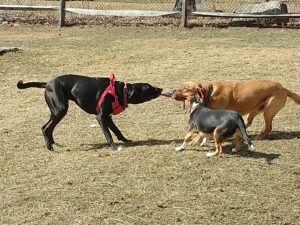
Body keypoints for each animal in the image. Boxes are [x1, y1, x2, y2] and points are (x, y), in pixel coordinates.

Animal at [17, 74, 162, 151]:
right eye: (150, 87)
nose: (160, 88)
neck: (121, 91)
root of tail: (47, 83)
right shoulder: (101, 117)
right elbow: (108, 134)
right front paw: (114, 147)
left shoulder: (108, 117)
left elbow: (117, 131)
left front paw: (125, 140)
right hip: (60, 109)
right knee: (46, 127)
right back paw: (49, 147)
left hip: (55, 111)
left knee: (47, 127)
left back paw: (53, 143)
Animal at [172, 81, 300, 140]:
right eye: (182, 86)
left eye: (186, 89)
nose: (173, 90)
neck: (210, 93)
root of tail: (284, 88)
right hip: (255, 110)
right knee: (248, 122)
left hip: (268, 110)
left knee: (268, 127)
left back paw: (260, 137)